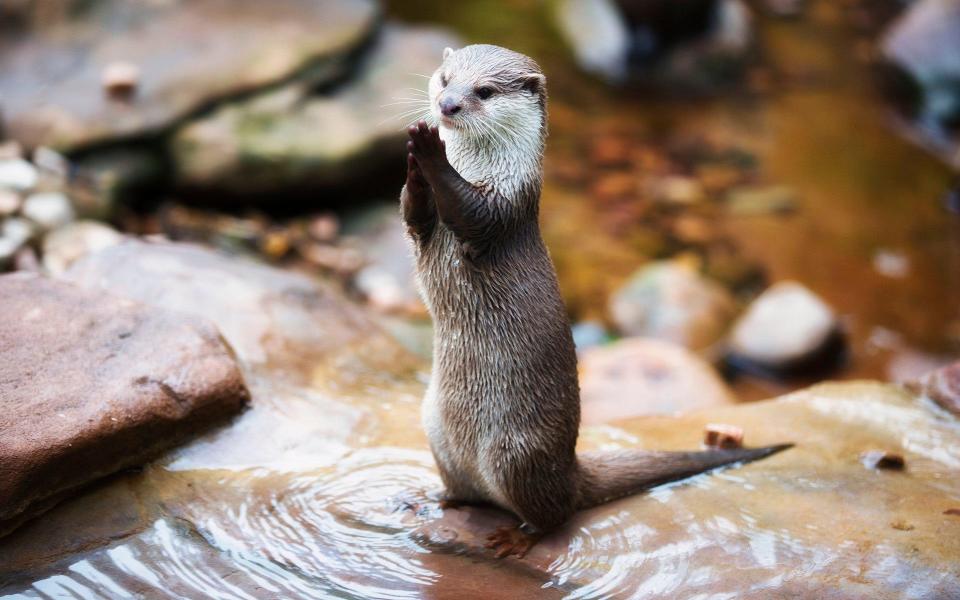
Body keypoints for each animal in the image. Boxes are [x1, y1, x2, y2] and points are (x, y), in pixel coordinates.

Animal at [398, 43, 788, 556]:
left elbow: (471, 210)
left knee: (554, 514)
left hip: (516, 453)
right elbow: (413, 213)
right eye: (445, 80)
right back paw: (434, 499)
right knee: (469, 490)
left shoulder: (504, 207)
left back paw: (514, 539)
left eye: (483, 91)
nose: (447, 106)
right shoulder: (424, 227)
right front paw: (414, 165)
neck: (487, 167)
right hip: (436, 430)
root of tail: (571, 468)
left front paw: (429, 152)